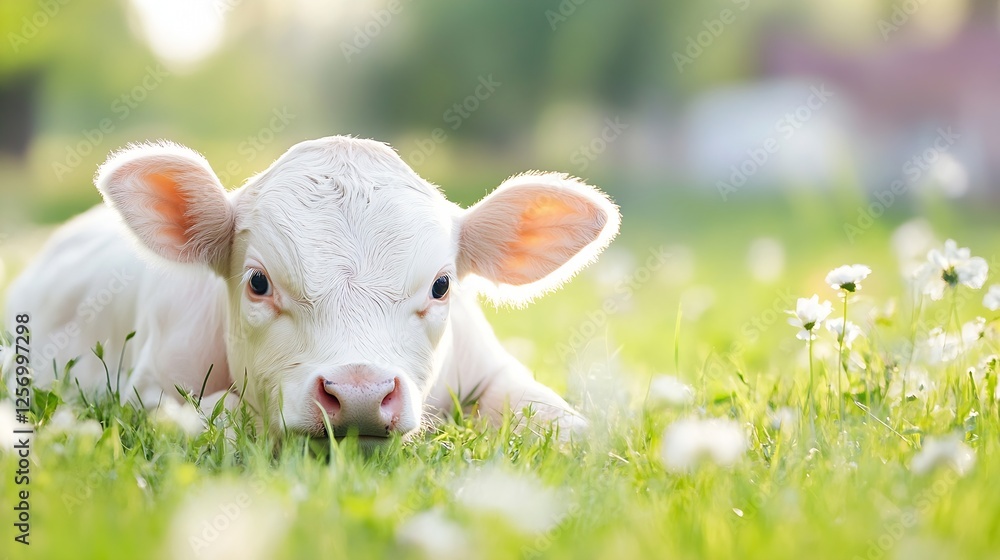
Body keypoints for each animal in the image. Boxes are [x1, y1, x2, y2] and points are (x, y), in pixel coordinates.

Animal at [2, 136, 620, 444]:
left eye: (442, 285)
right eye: (258, 281)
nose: (360, 392)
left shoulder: (492, 371)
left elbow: (564, 427)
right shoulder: (147, 391)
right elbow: (225, 412)